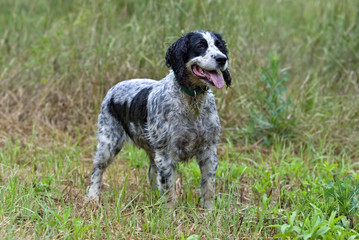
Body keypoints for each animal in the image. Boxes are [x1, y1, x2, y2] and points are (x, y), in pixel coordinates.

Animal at [86, 30, 231, 208]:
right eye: (200, 46)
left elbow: (208, 186)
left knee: (152, 172)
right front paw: (169, 212)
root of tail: (113, 88)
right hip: (108, 144)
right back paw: (92, 196)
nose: (222, 59)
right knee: (97, 169)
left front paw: (209, 210)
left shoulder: (209, 150)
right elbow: (169, 190)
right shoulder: (166, 154)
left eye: (219, 46)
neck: (192, 103)